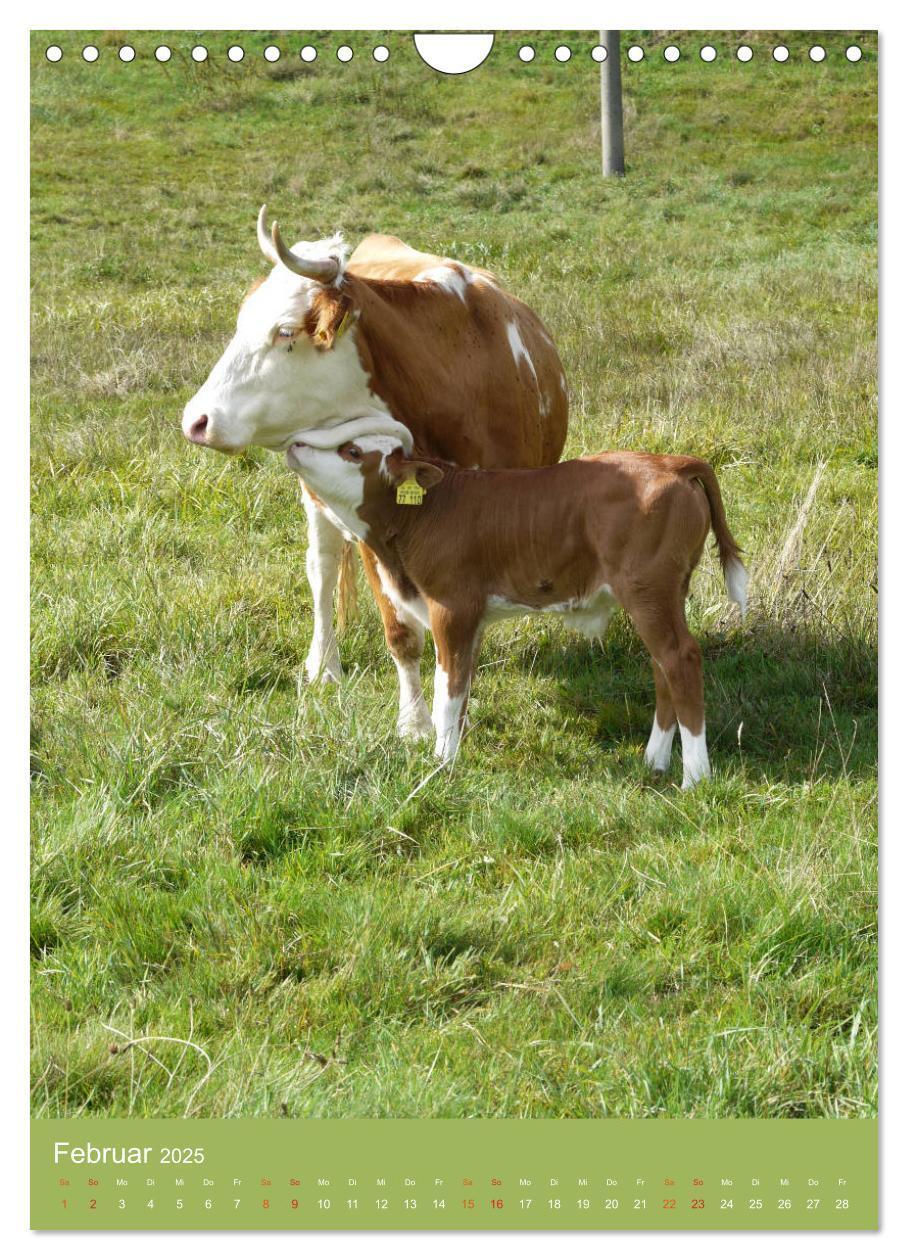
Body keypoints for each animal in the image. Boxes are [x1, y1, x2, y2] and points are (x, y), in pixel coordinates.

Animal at [182, 207, 566, 735]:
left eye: (285, 331)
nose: (196, 420)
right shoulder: (374, 532)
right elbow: (401, 631)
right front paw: (415, 724)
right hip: (316, 500)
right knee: (322, 571)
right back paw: (323, 666)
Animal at [282, 423, 745, 786]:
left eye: (352, 451)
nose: (295, 443)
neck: (423, 515)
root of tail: (671, 462)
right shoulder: (468, 615)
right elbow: (461, 687)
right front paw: (451, 752)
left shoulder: (452, 605)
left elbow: (447, 687)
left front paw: (441, 763)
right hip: (663, 593)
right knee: (661, 663)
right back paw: (654, 761)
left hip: (648, 588)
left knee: (679, 658)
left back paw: (696, 777)